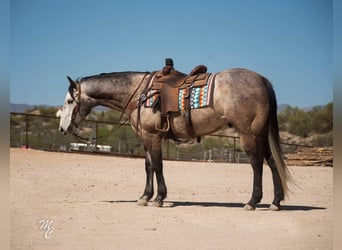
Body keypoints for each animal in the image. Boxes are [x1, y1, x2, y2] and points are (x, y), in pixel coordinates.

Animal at [58, 67, 292, 210]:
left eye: (69, 101)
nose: (62, 128)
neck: (140, 93)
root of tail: (261, 80)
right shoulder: (146, 137)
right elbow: (149, 167)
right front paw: (145, 197)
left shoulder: (152, 136)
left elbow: (158, 166)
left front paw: (159, 198)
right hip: (261, 135)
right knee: (272, 163)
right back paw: (276, 202)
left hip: (248, 135)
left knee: (257, 165)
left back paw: (252, 201)